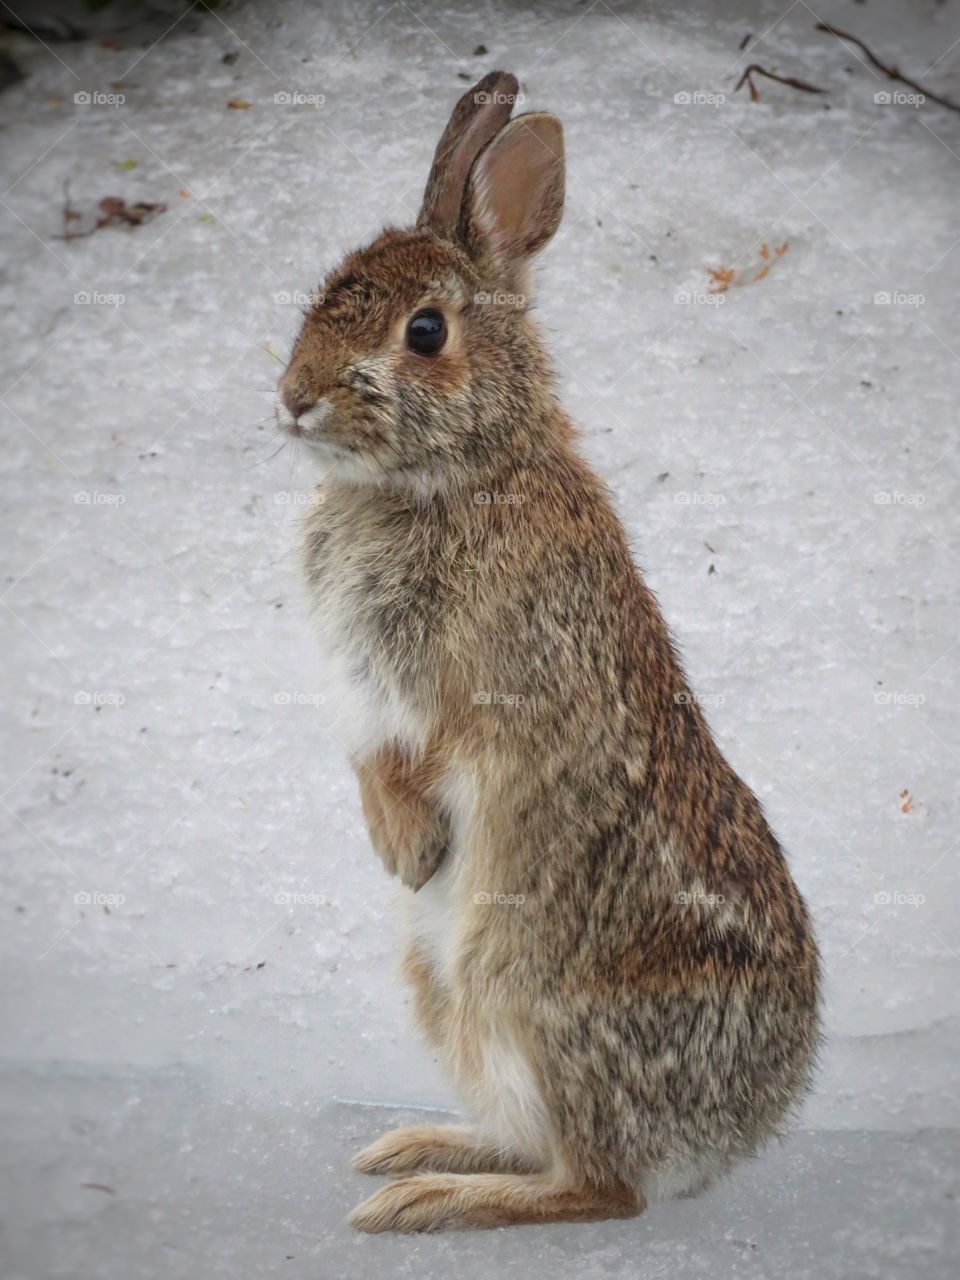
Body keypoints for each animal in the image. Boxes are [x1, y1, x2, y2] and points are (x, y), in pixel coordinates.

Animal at [276, 67, 819, 1228]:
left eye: (424, 331)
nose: (293, 399)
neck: (459, 472)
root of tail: (745, 1126)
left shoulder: (490, 684)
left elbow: (439, 752)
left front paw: (412, 847)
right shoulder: (363, 699)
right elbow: (369, 761)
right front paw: (398, 849)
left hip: (533, 994)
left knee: (598, 1189)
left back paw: (429, 1200)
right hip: (447, 993)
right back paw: (417, 1148)